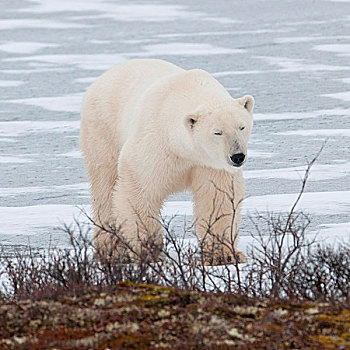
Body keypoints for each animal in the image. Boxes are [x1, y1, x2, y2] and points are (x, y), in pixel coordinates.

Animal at [79, 58, 254, 266]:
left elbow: (217, 197)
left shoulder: (210, 164)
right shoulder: (155, 143)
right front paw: (148, 252)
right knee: (106, 188)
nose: (237, 156)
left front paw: (223, 255)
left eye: (242, 127)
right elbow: (138, 191)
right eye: (217, 132)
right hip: (103, 129)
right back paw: (110, 251)